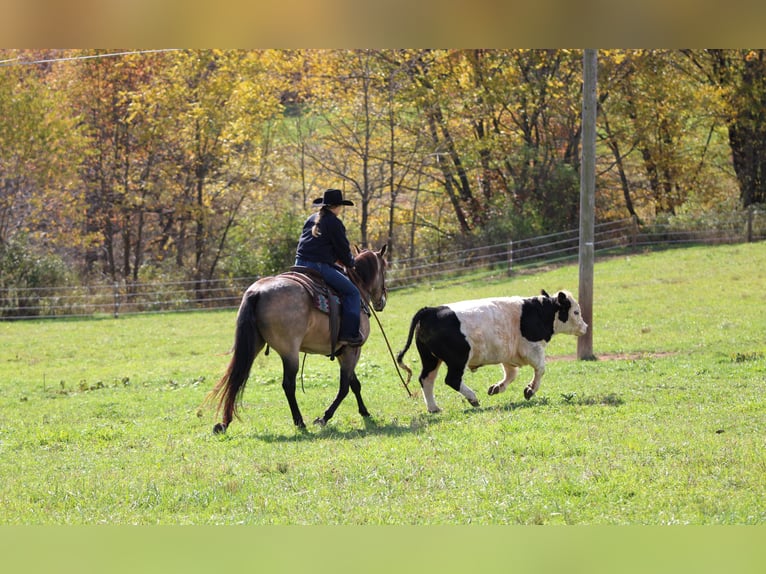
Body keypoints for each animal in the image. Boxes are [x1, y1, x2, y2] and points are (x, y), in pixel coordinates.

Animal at [206, 245, 388, 433]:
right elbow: (345, 387)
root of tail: (257, 292)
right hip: (290, 352)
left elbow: (354, 384)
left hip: (253, 345)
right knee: (288, 384)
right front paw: (324, 418)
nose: (382, 301)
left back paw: (224, 423)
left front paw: (364, 411)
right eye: (385, 268)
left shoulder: (342, 352)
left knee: (236, 378)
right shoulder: (352, 350)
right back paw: (299, 421)